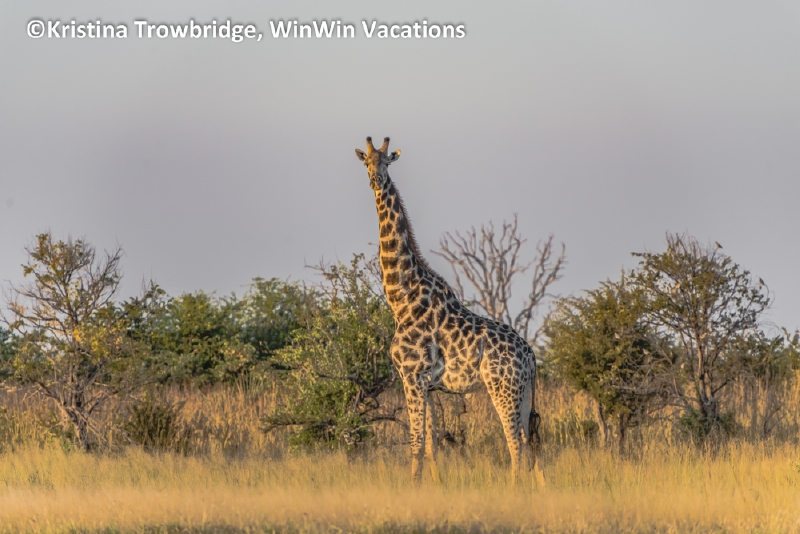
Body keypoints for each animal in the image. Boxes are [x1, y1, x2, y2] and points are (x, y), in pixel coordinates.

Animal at [355, 137, 542, 485]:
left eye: (387, 161)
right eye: (366, 163)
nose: (376, 180)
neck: (402, 300)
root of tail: (531, 356)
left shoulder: (411, 376)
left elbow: (416, 443)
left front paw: (412, 489)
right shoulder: (427, 384)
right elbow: (431, 446)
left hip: (502, 388)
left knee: (516, 445)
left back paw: (514, 491)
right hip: (523, 392)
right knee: (531, 442)